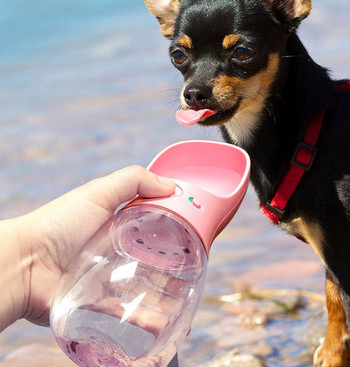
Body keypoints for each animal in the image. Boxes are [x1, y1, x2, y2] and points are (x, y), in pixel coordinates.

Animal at [143, 0, 350, 366]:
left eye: (243, 51)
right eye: (178, 55)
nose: (194, 93)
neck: (308, 135)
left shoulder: (343, 253)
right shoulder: (331, 253)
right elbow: (331, 296)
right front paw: (331, 348)